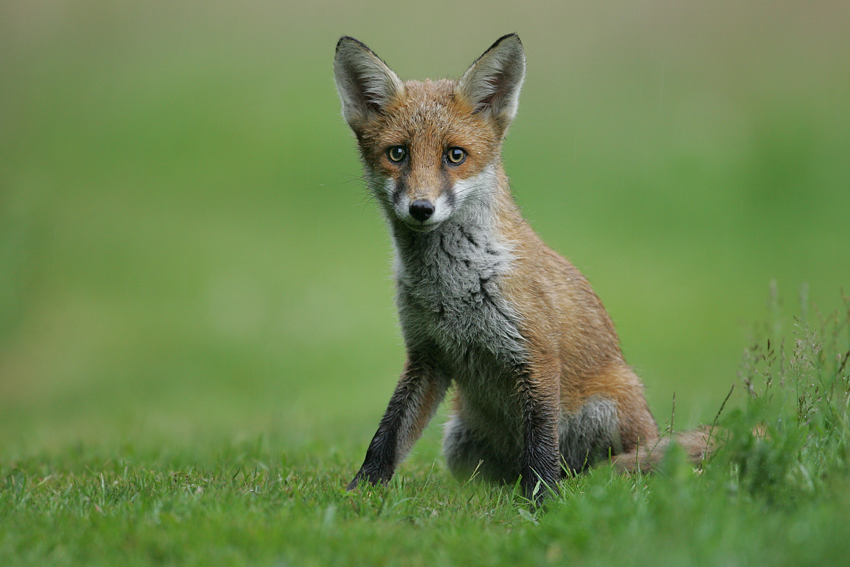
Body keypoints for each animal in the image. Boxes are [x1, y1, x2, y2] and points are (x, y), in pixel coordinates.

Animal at [332, 33, 708, 504]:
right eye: (397, 154)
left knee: (596, 469)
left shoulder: (536, 354)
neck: (453, 286)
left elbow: (541, 443)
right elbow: (387, 435)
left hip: (602, 410)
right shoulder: (425, 355)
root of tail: (655, 432)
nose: (421, 208)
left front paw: (542, 502)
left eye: (455, 155)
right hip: (458, 444)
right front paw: (360, 492)